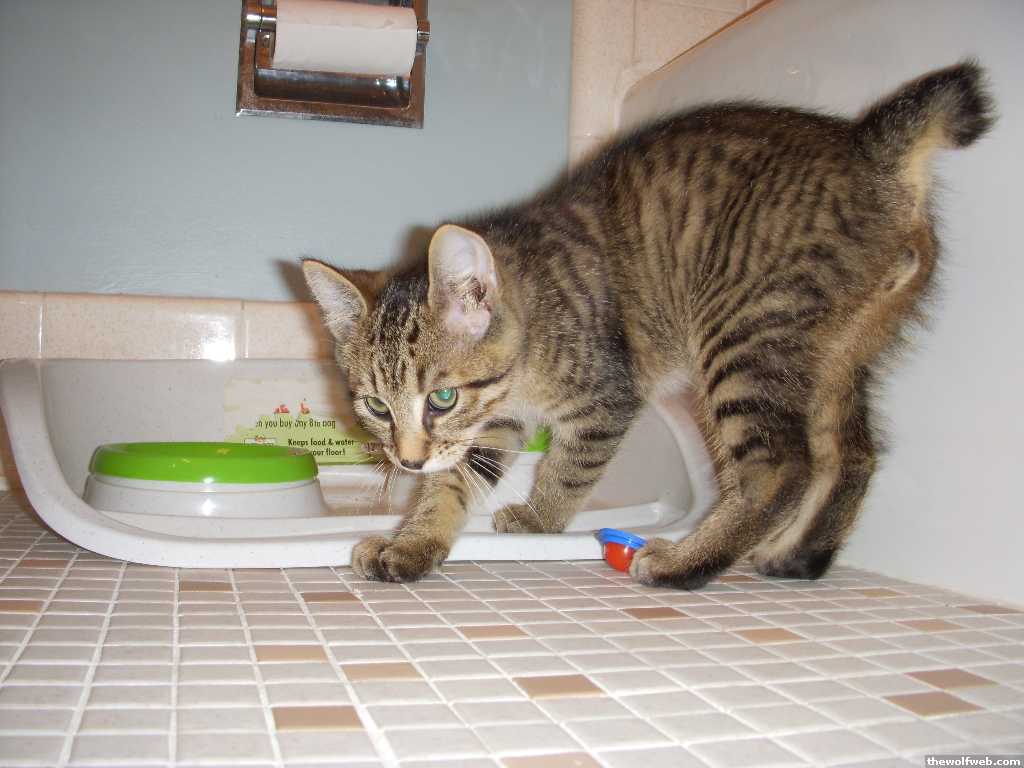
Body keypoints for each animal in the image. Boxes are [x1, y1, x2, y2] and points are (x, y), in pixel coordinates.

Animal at [303, 61, 993, 588]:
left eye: (441, 398)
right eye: (375, 406)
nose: (406, 461)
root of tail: (867, 146)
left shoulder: (605, 397)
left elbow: (568, 466)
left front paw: (541, 520)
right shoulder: (494, 425)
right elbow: (452, 484)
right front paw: (413, 541)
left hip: (742, 338)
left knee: (780, 467)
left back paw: (685, 564)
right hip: (835, 354)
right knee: (852, 454)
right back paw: (797, 555)